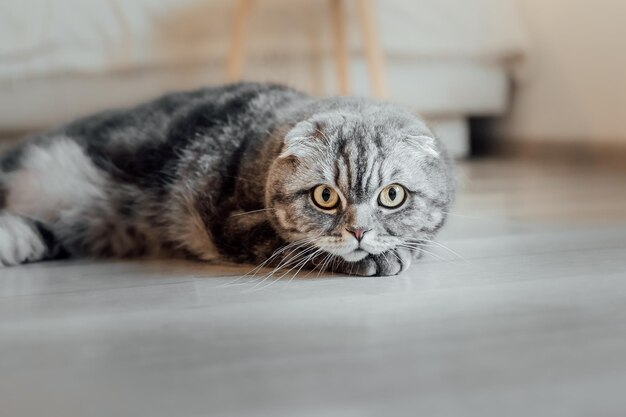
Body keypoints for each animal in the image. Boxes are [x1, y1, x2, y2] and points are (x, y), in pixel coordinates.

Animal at [0, 82, 450, 274]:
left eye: (392, 196)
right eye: (325, 197)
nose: (358, 232)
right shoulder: (227, 222)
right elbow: (293, 246)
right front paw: (379, 257)